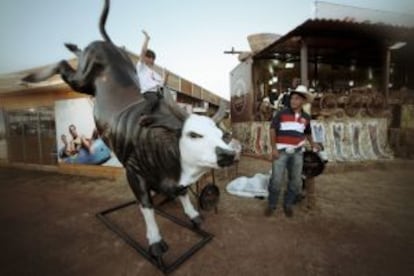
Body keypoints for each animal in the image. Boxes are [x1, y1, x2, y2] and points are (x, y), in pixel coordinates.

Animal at [23, 0, 236, 258]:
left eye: (222, 134)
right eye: (194, 135)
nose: (228, 154)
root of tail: (105, 44)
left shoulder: (175, 178)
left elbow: (183, 192)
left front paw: (194, 216)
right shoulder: (134, 172)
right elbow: (146, 205)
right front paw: (155, 241)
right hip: (82, 79)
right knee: (63, 64)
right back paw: (35, 74)